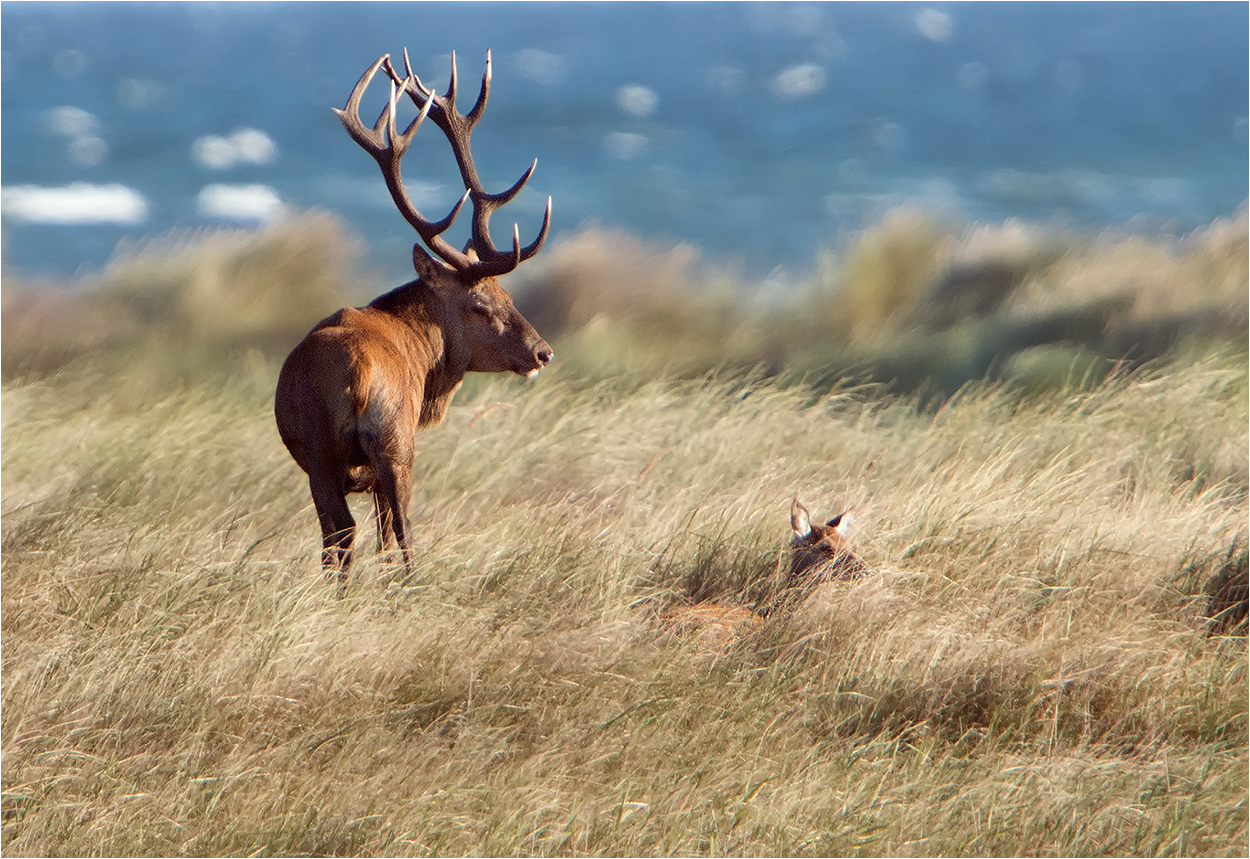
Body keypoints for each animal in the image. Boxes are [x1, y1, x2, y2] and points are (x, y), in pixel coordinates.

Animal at [278, 50, 552, 580]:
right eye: (481, 304)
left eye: (508, 295)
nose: (542, 352)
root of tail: (359, 373)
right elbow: (390, 536)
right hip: (393, 445)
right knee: (395, 536)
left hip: (320, 454)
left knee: (336, 536)